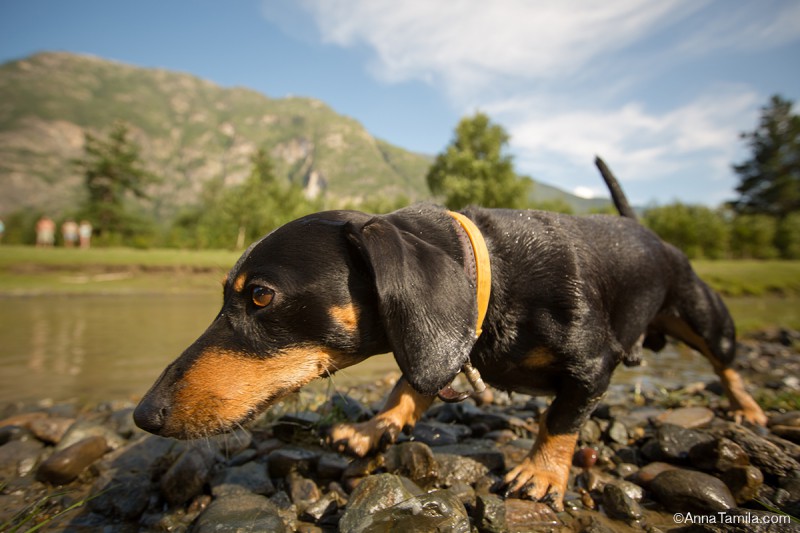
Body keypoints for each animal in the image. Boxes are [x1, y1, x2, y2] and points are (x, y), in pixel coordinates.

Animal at [134, 160, 764, 510]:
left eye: (261, 296)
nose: (144, 414)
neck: (496, 275)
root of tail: (648, 232)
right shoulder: (431, 348)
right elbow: (409, 386)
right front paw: (374, 427)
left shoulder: (592, 364)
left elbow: (561, 419)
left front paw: (541, 472)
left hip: (704, 317)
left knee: (727, 362)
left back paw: (748, 408)